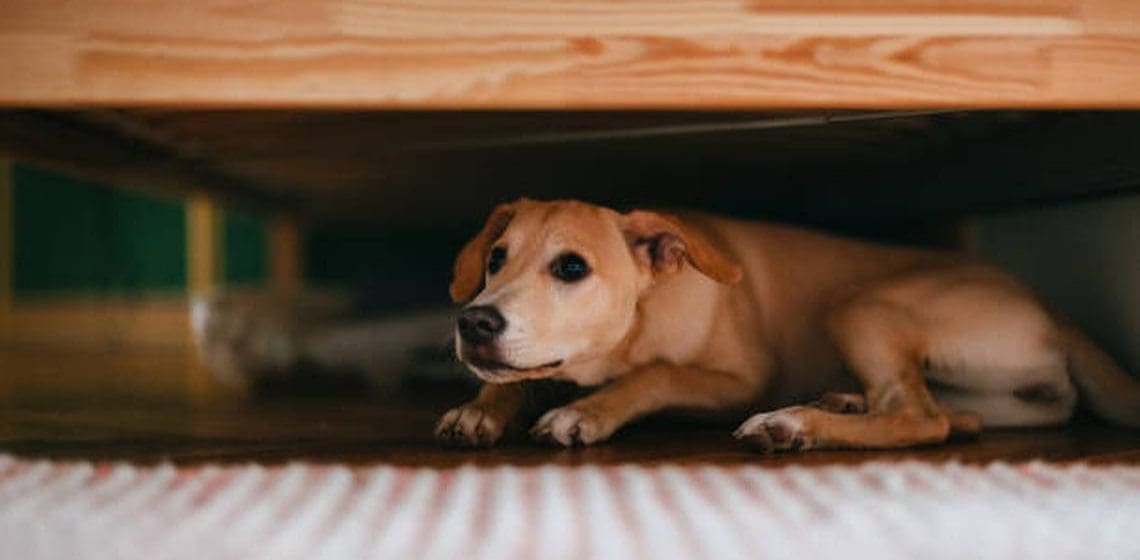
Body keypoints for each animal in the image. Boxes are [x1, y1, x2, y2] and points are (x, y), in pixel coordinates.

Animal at [435, 199, 1140, 453]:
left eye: (572, 267)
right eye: (496, 259)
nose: (474, 322)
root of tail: (1052, 311)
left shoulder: (742, 379)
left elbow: (657, 376)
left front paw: (587, 412)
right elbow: (520, 376)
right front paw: (483, 408)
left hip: (861, 305)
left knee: (920, 418)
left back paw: (794, 424)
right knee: (949, 414)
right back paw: (838, 402)